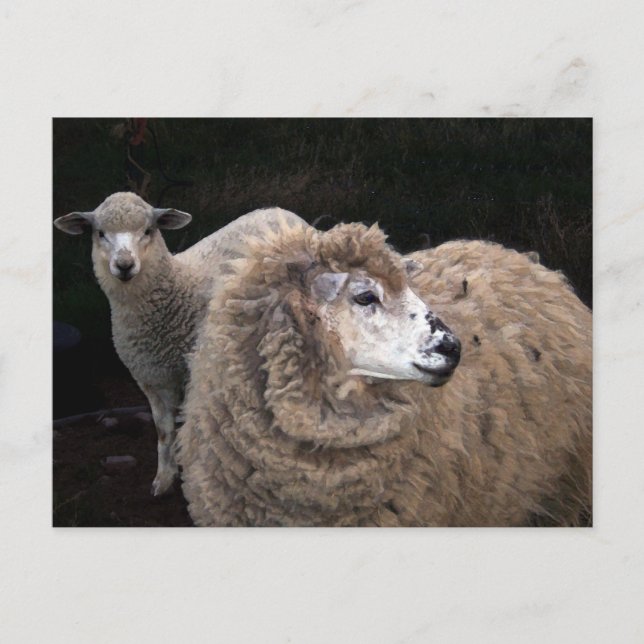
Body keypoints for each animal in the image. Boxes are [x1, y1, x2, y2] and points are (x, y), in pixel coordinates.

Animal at [54, 192, 309, 495]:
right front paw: (164, 478)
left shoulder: (194, 374)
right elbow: (163, 431)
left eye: (148, 230)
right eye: (100, 233)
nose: (125, 265)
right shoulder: (150, 378)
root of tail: (280, 210)